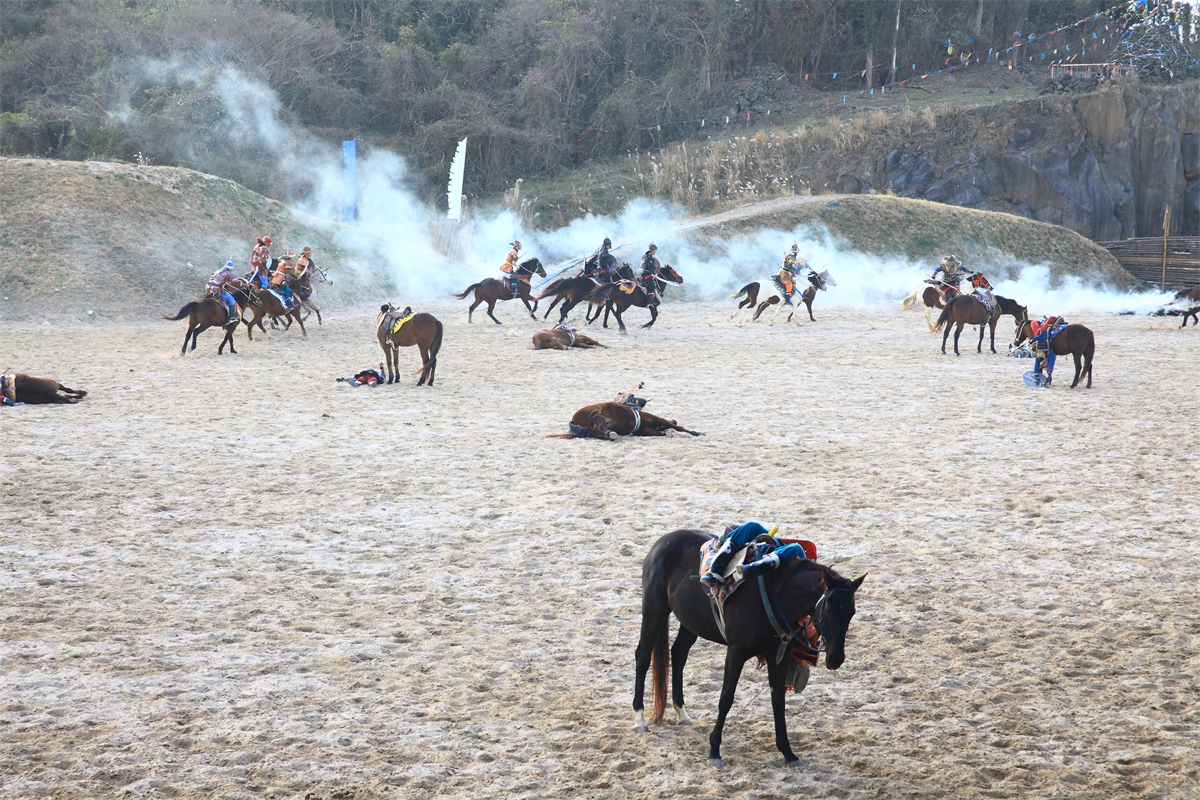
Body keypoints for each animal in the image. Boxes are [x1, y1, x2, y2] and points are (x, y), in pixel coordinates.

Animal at [633, 528, 865, 768]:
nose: (836, 658)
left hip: (691, 621)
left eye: (851, 611)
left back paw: (682, 713)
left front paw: (788, 752)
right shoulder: (735, 653)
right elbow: (726, 698)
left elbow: (778, 700)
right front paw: (714, 750)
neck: (775, 593)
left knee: (678, 654)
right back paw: (639, 718)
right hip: (654, 610)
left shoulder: (778, 655)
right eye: (828, 609)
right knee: (643, 656)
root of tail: (663, 541)